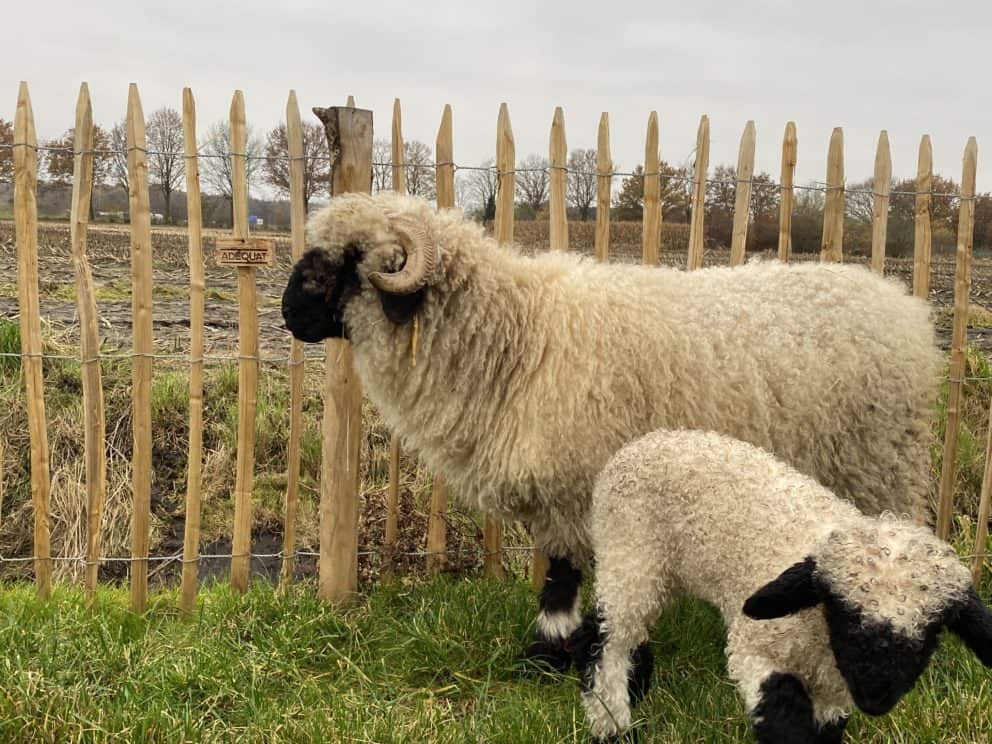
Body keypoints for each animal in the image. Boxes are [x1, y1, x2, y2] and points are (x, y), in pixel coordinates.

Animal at [280, 192, 936, 668]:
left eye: (344, 261)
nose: (287, 315)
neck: (516, 338)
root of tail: (901, 304)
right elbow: (556, 570)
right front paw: (549, 649)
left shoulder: (578, 481)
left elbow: (566, 572)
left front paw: (562, 652)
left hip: (882, 461)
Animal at [572, 430, 992, 744]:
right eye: (845, 613)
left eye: (932, 633)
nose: (875, 697)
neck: (819, 639)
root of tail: (645, 441)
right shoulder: (757, 648)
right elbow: (781, 716)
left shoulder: (831, 694)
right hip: (631, 550)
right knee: (607, 637)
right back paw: (611, 724)